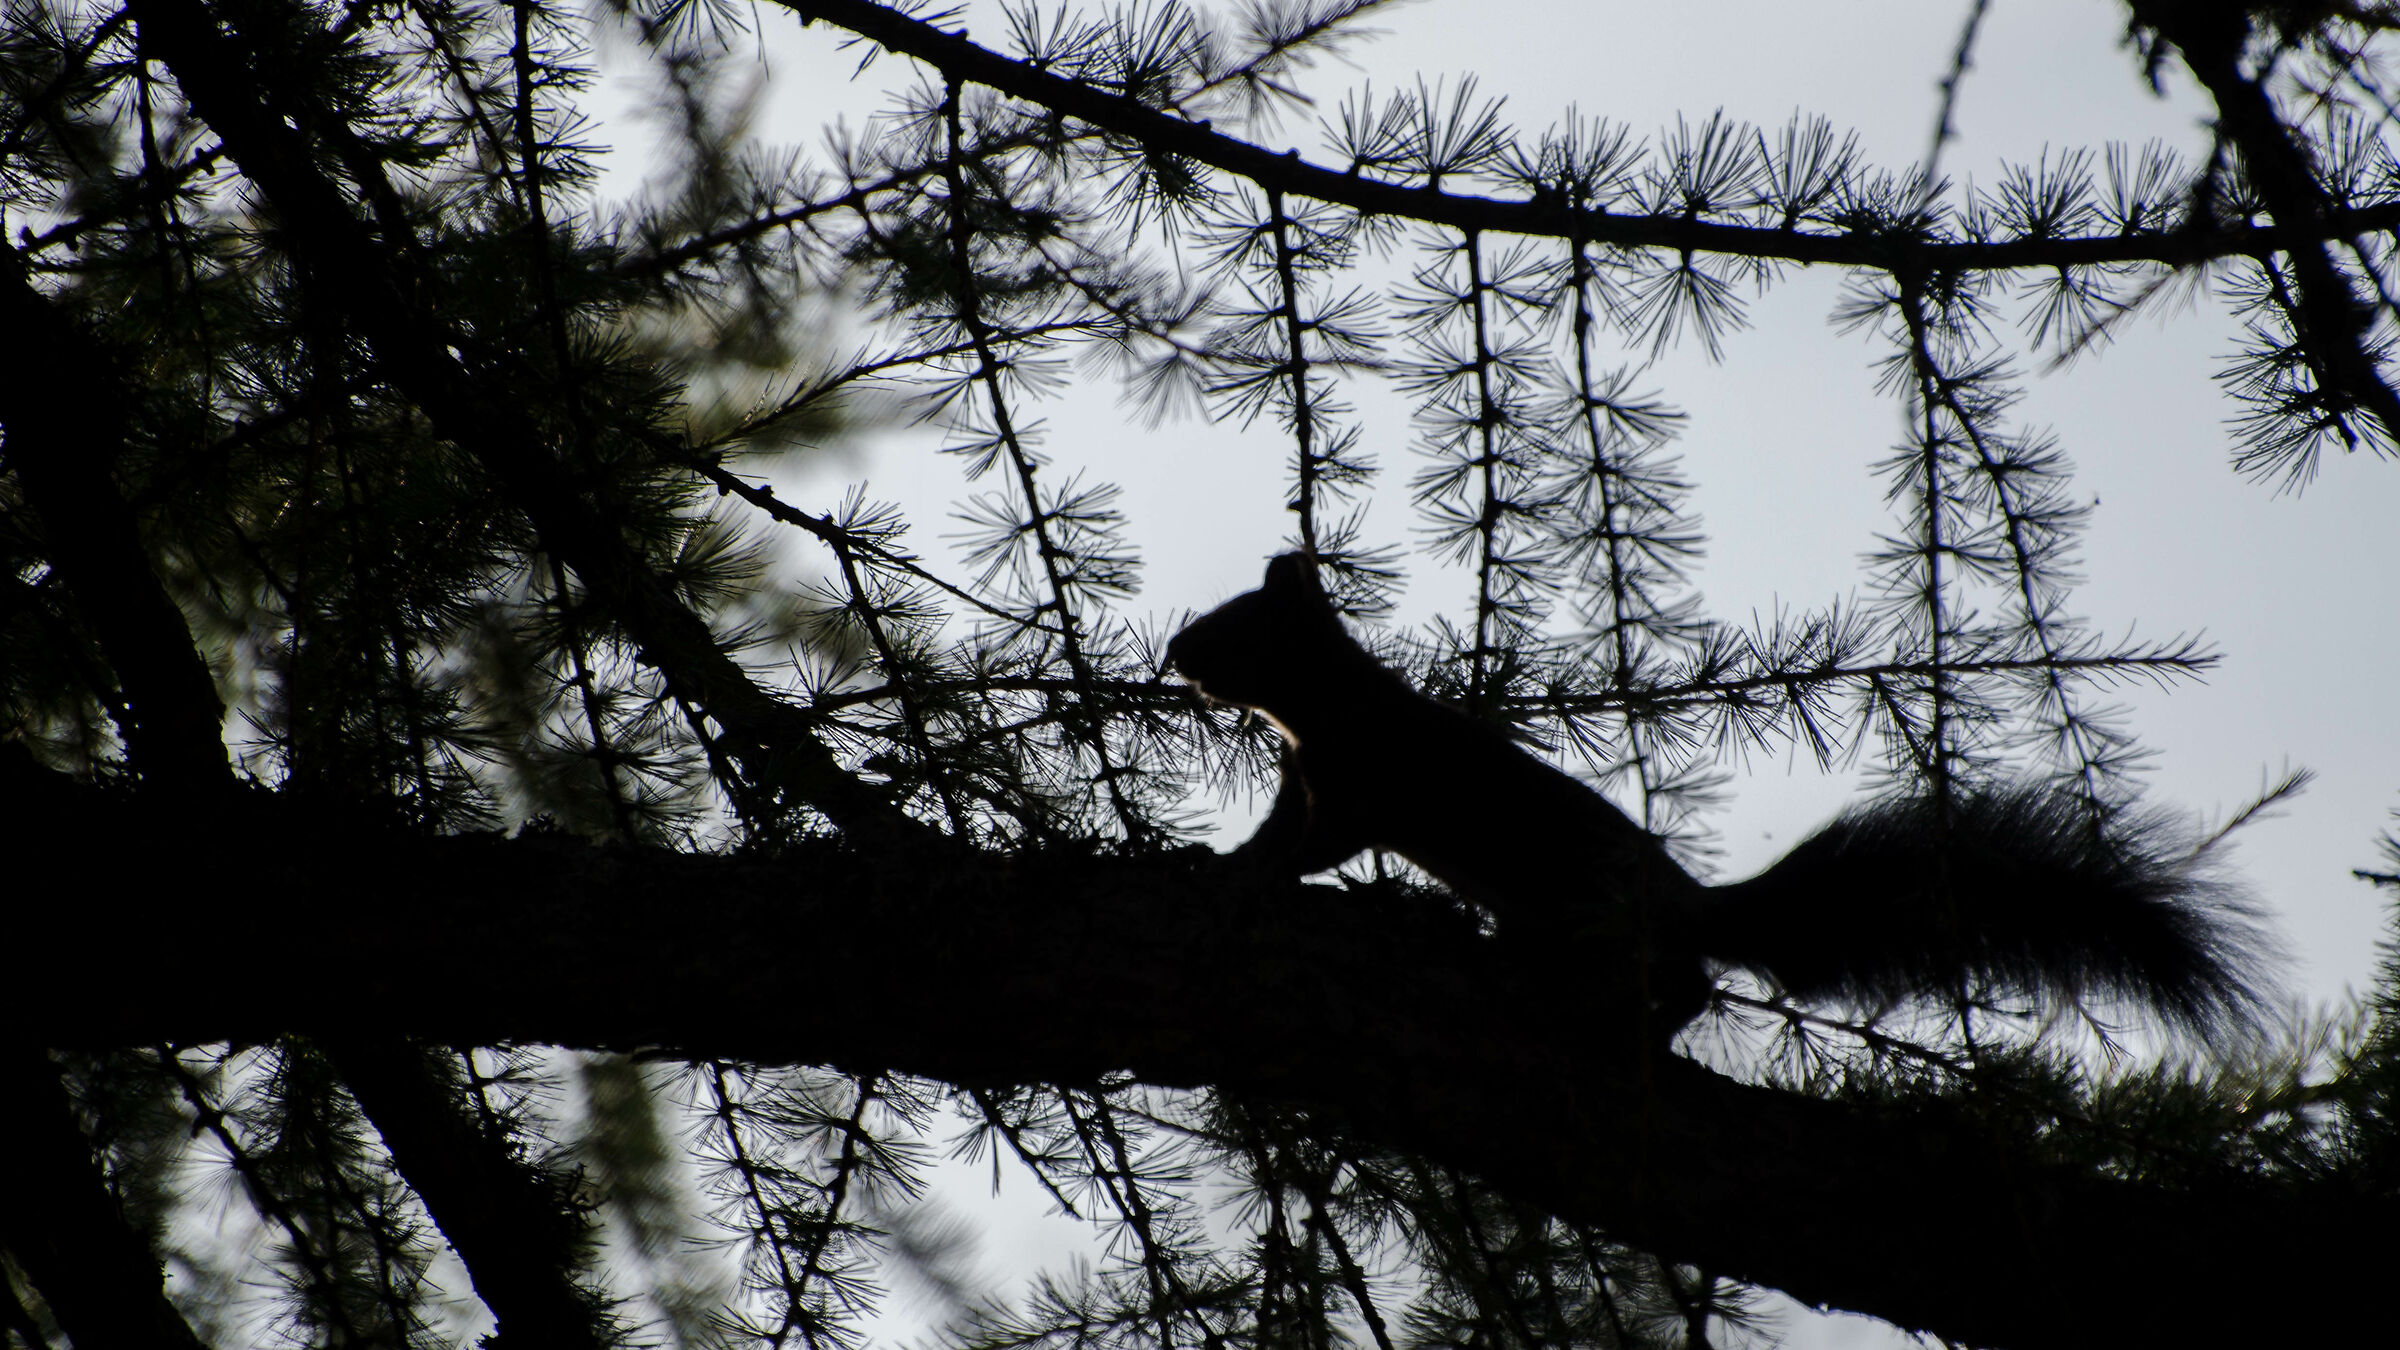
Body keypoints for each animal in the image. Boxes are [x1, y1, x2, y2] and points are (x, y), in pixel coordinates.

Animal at [1165, 553, 2273, 1041]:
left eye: (1231, 623)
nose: (1176, 651)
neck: (1321, 707)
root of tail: (1686, 898)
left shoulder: (1363, 783)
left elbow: (1316, 847)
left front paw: (1256, 877)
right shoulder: (1306, 784)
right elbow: (1279, 835)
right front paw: (1223, 859)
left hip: (1598, 908)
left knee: (1687, 977)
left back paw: (1642, 1018)